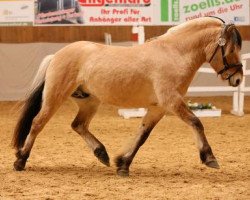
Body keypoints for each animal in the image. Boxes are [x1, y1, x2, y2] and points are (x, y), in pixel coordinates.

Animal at [11, 17, 242, 177]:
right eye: (231, 49)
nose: (238, 79)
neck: (174, 54)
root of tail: (57, 55)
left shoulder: (158, 107)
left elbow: (142, 135)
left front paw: (123, 164)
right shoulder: (171, 101)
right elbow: (196, 122)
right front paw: (209, 158)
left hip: (89, 101)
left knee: (78, 125)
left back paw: (102, 154)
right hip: (55, 96)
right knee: (37, 123)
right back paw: (20, 161)